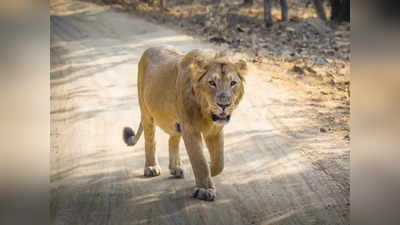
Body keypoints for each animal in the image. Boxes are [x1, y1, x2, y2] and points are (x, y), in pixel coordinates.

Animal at [122, 46, 247, 201]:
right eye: (212, 83)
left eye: (233, 83)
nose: (224, 105)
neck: (206, 112)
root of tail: (150, 48)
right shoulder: (190, 129)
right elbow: (199, 159)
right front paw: (205, 189)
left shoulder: (215, 130)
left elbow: (219, 162)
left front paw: (209, 171)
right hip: (146, 111)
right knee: (150, 140)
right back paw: (151, 168)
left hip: (176, 123)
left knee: (172, 139)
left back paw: (175, 168)